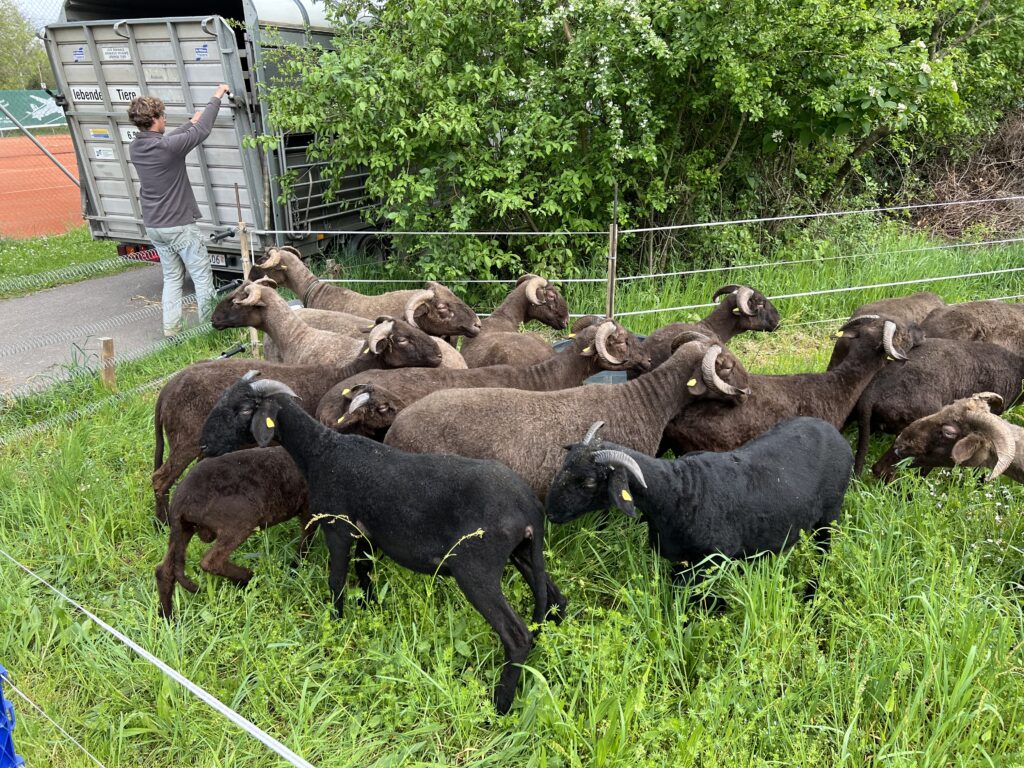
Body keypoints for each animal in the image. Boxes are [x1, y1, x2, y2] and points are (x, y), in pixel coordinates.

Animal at [197, 372, 569, 716]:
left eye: (244, 409)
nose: (202, 447)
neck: (321, 451)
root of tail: (528, 508)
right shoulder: (366, 535)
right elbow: (365, 573)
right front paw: (368, 610)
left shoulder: (338, 527)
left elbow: (336, 580)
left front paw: (336, 623)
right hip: (523, 554)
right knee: (556, 600)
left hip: (476, 567)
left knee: (516, 635)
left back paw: (500, 705)